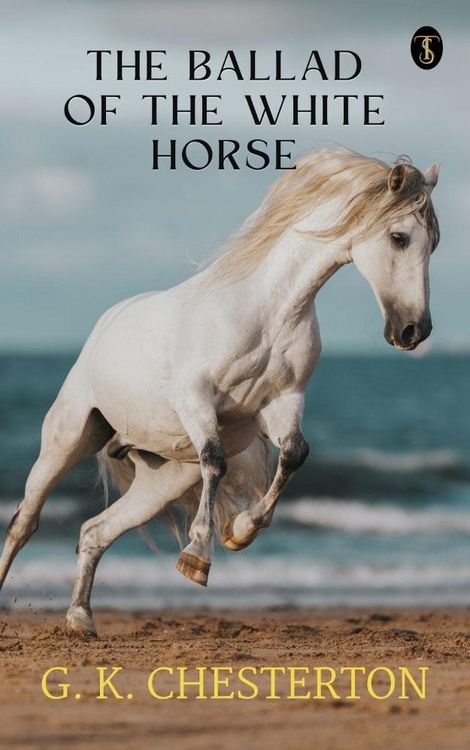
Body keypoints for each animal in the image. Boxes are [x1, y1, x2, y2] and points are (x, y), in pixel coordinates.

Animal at [0, 148, 440, 636]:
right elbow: (215, 458)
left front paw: (240, 531)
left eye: (433, 244)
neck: (268, 311)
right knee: (24, 522)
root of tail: (107, 323)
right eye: (399, 237)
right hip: (67, 438)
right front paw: (196, 558)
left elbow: (294, 454)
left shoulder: (283, 402)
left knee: (94, 532)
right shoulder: (195, 398)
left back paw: (81, 618)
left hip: (162, 480)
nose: (413, 332)